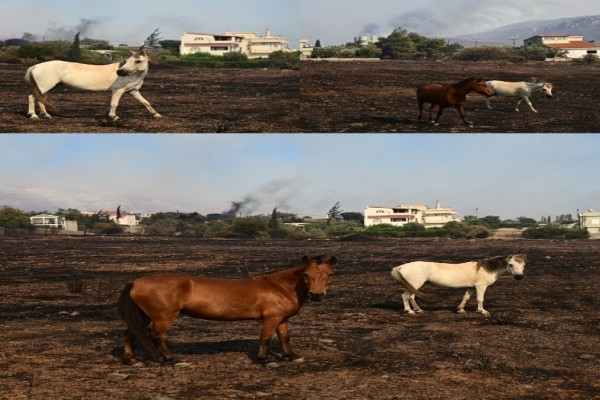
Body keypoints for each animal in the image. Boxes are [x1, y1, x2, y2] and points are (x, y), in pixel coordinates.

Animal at [25, 49, 162, 120]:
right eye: (128, 60)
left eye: (138, 61)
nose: (120, 72)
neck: (132, 75)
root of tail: (35, 66)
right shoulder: (117, 90)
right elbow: (114, 104)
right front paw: (113, 117)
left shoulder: (133, 91)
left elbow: (146, 102)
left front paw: (156, 114)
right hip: (44, 87)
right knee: (32, 97)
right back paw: (33, 115)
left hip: (49, 87)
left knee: (40, 99)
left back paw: (46, 115)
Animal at [115, 255, 336, 364]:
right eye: (306, 274)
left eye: (330, 274)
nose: (317, 295)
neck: (280, 286)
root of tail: (136, 282)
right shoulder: (271, 318)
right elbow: (265, 338)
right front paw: (263, 360)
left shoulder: (282, 319)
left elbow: (284, 338)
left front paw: (290, 356)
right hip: (163, 318)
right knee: (157, 337)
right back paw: (171, 359)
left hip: (144, 316)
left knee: (130, 333)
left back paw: (132, 360)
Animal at [390, 255, 524, 318]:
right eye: (511, 265)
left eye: (523, 265)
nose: (520, 277)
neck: (486, 269)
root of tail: (400, 267)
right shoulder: (480, 286)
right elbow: (480, 299)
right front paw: (483, 311)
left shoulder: (471, 287)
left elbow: (466, 297)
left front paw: (460, 309)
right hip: (414, 284)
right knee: (405, 296)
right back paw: (410, 311)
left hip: (414, 285)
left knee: (411, 297)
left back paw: (418, 310)